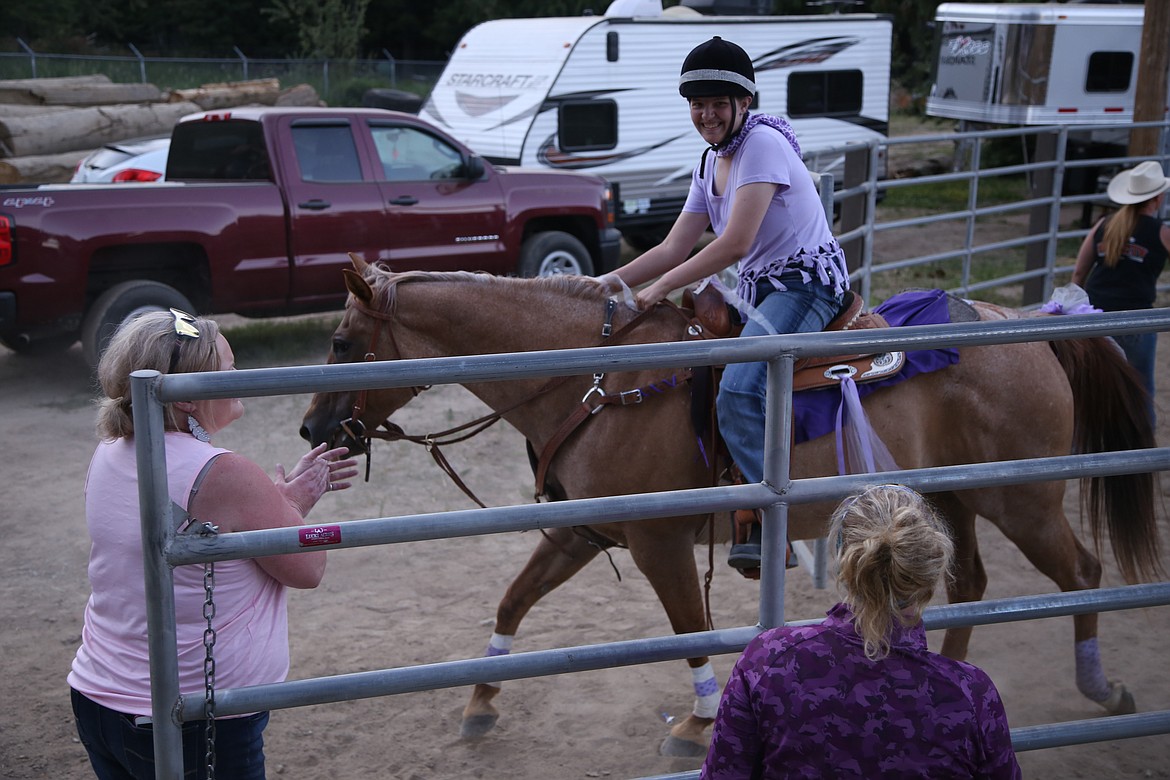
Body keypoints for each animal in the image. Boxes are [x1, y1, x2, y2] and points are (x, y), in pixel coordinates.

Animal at [301, 259, 1160, 757]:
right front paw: (481, 700)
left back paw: (1102, 689)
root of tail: (1028, 328)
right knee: (974, 587)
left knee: (1082, 572)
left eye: (342, 343)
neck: (598, 383)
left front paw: (699, 720)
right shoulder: (582, 530)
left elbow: (690, 628)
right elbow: (514, 597)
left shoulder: (659, 541)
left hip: (1023, 499)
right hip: (954, 500)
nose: (310, 427)